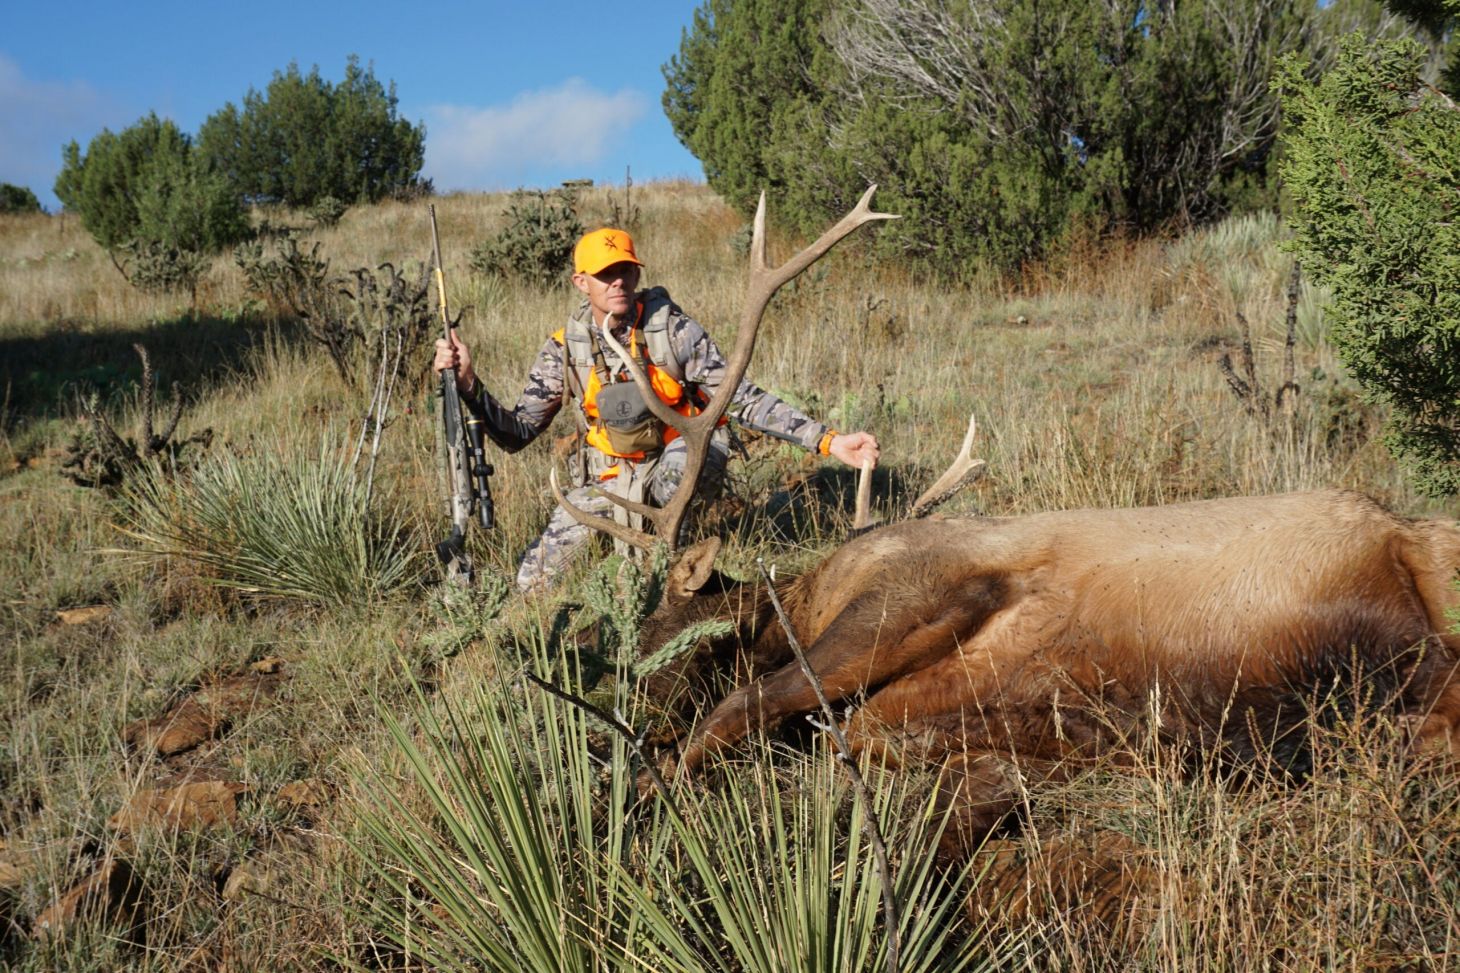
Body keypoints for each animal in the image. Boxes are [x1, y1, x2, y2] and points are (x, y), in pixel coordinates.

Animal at [549, 187, 1460, 862]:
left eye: (662, 626)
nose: (610, 706)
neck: (801, 603)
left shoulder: (922, 586)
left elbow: (739, 704)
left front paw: (623, 798)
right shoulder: (939, 724)